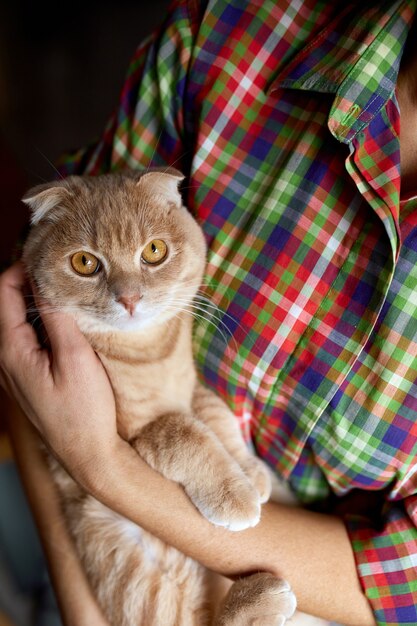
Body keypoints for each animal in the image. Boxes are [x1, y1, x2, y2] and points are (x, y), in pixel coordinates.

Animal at [21, 168, 300, 624]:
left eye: (153, 251)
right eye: (84, 263)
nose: (129, 298)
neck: (150, 354)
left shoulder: (193, 386)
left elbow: (214, 413)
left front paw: (249, 470)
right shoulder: (134, 432)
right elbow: (182, 430)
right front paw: (236, 494)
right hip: (134, 573)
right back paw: (261, 595)